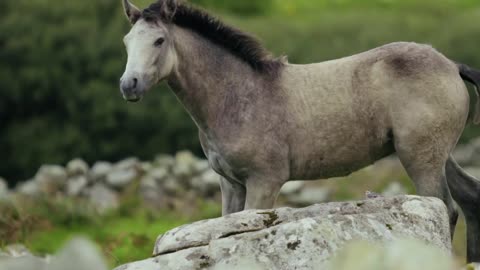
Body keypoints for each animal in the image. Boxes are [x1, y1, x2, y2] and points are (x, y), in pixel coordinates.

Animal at [119, 0, 480, 262]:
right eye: (126, 41)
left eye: (159, 40)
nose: (128, 85)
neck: (240, 95)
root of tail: (451, 65)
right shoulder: (230, 184)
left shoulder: (264, 182)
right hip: (438, 155)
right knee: (470, 197)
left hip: (420, 159)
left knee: (444, 209)